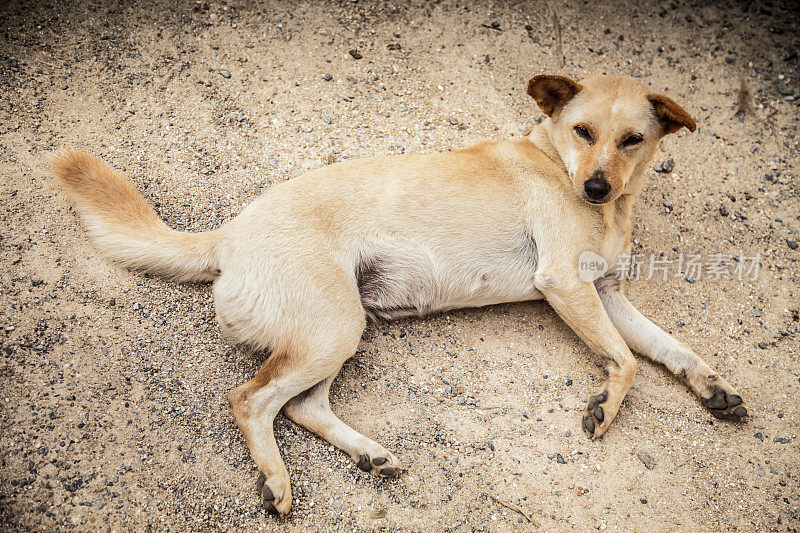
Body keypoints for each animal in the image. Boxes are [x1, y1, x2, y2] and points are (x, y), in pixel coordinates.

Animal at [53, 72, 748, 512]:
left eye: (633, 140)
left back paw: (369, 456)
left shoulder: (607, 296)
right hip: (333, 329)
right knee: (251, 399)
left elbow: (669, 348)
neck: (563, 166)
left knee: (302, 407)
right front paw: (604, 405)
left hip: (336, 333)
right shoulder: (566, 285)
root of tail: (227, 237)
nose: (597, 188)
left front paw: (713, 387)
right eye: (582, 131)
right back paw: (276, 480)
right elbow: (626, 361)